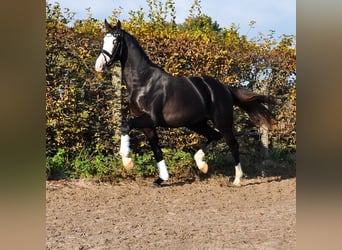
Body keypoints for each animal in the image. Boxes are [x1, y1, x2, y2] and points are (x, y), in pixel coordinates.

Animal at [94, 19, 272, 187]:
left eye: (115, 41)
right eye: (104, 39)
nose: (99, 66)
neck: (143, 82)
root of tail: (224, 88)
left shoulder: (151, 119)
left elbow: (125, 125)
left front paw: (127, 162)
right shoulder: (147, 125)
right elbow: (156, 149)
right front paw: (161, 179)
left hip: (222, 121)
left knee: (233, 144)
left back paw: (237, 179)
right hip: (195, 123)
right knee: (214, 136)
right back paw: (201, 164)